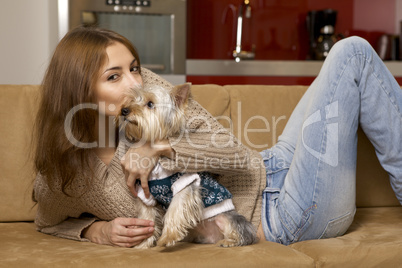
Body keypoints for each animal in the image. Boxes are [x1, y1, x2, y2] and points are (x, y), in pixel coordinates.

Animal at [118, 82, 258, 248]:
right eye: (133, 99)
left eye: (150, 104)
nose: (124, 110)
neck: (158, 164)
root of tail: (213, 238)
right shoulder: (146, 194)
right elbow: (147, 218)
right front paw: (143, 244)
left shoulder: (184, 184)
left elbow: (175, 211)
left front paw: (167, 237)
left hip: (227, 217)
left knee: (241, 231)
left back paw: (229, 241)